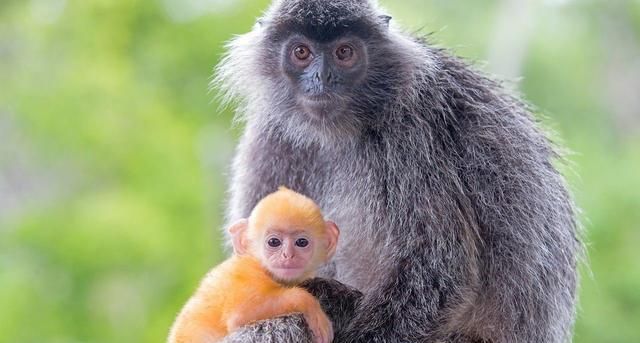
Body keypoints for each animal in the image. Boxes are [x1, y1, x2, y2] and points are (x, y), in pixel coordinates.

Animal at [169, 188, 340, 343]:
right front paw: (309, 305)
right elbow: (241, 314)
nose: (288, 255)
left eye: (302, 242)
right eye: (274, 242)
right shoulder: (248, 274)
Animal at [215, 0, 580, 343]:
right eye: (301, 52)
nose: (322, 79)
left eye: (344, 53)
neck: (336, 131)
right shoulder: (271, 135)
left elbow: (442, 270)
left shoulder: (410, 131)